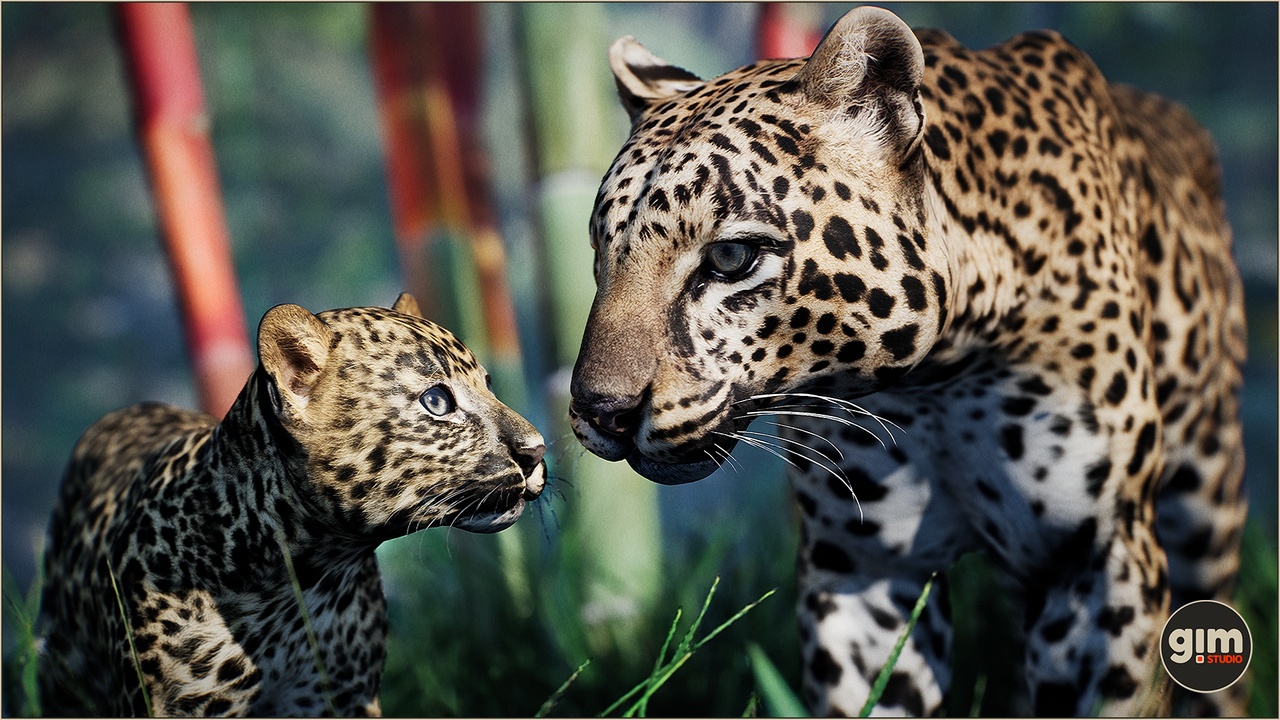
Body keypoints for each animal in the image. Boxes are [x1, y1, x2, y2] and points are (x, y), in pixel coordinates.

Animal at [569, 7, 1247, 716]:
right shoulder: (864, 568)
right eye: (599, 253)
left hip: (1205, 495)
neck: (938, 378)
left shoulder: (1097, 562)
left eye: (731, 257)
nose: (602, 412)